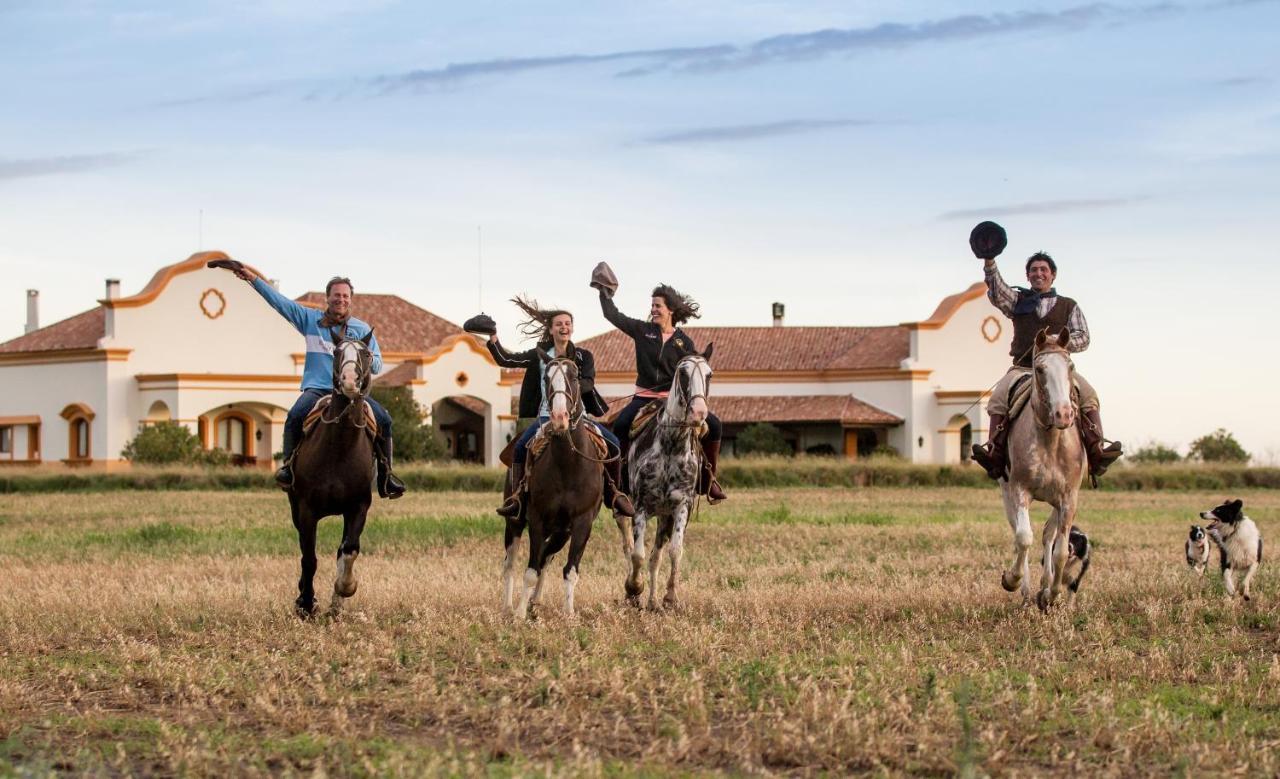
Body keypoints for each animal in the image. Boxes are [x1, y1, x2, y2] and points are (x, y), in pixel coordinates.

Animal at [286, 330, 373, 619]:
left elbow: (348, 550)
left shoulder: (359, 506)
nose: (349, 381)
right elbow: (309, 558)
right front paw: (306, 603)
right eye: (336, 352)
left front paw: (343, 591)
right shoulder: (306, 510)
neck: (340, 446)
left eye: (366, 354)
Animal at [506, 353, 606, 619]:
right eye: (546, 378)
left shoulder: (581, 523)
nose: (560, 418)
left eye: (575, 377)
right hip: (514, 522)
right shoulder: (537, 519)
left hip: (561, 532)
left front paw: (569, 613)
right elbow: (530, 571)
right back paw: (508, 606)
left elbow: (569, 570)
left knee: (546, 558)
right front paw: (519, 614)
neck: (567, 465)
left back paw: (536, 601)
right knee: (510, 563)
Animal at [616, 350, 711, 611]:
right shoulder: (640, 507)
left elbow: (674, 551)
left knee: (656, 556)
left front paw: (670, 597)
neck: (671, 446)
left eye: (709, 374)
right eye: (683, 373)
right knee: (628, 544)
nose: (699, 413)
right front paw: (634, 587)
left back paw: (652, 602)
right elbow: (637, 555)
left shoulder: (681, 507)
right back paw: (633, 594)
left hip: (664, 516)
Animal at [993, 324, 1085, 611]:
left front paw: (1051, 595)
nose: (1064, 414)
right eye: (1041, 369)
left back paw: (1044, 588)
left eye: (1070, 366)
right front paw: (1012, 580)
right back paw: (1023, 590)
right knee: (1020, 534)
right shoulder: (1020, 490)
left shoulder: (1068, 498)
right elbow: (1023, 537)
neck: (1051, 440)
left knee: (1048, 537)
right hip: (1007, 493)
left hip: (1057, 502)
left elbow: (1061, 551)